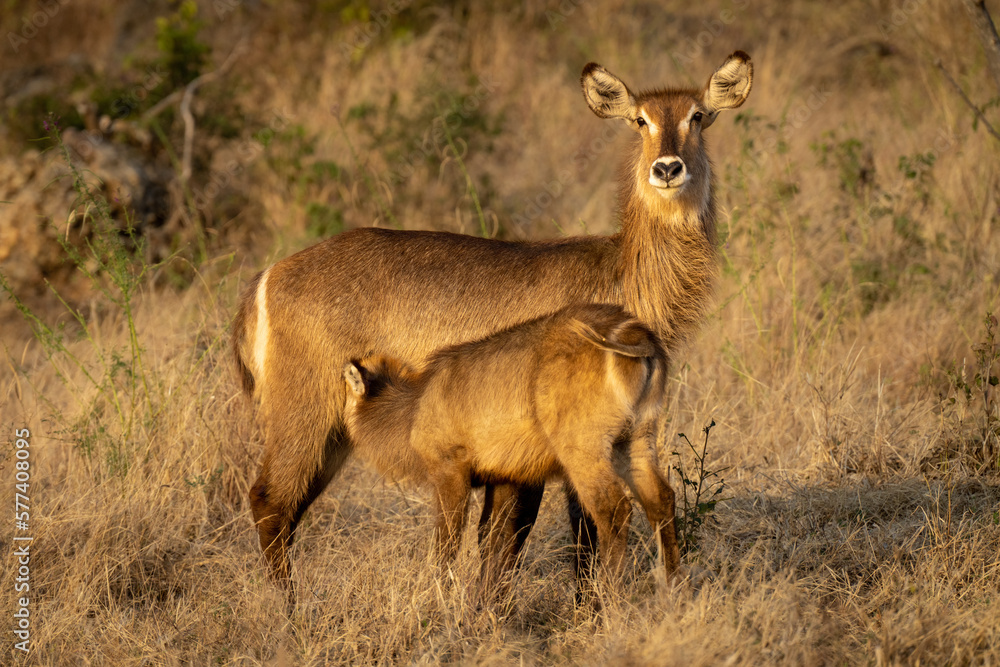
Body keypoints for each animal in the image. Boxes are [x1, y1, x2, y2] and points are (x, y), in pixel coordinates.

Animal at [344, 306, 680, 588]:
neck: (414, 406)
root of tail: (636, 334)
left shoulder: (449, 473)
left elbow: (447, 542)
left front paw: (437, 595)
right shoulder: (505, 478)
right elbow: (495, 541)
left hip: (584, 451)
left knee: (614, 510)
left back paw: (606, 600)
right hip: (635, 443)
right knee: (661, 499)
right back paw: (673, 590)